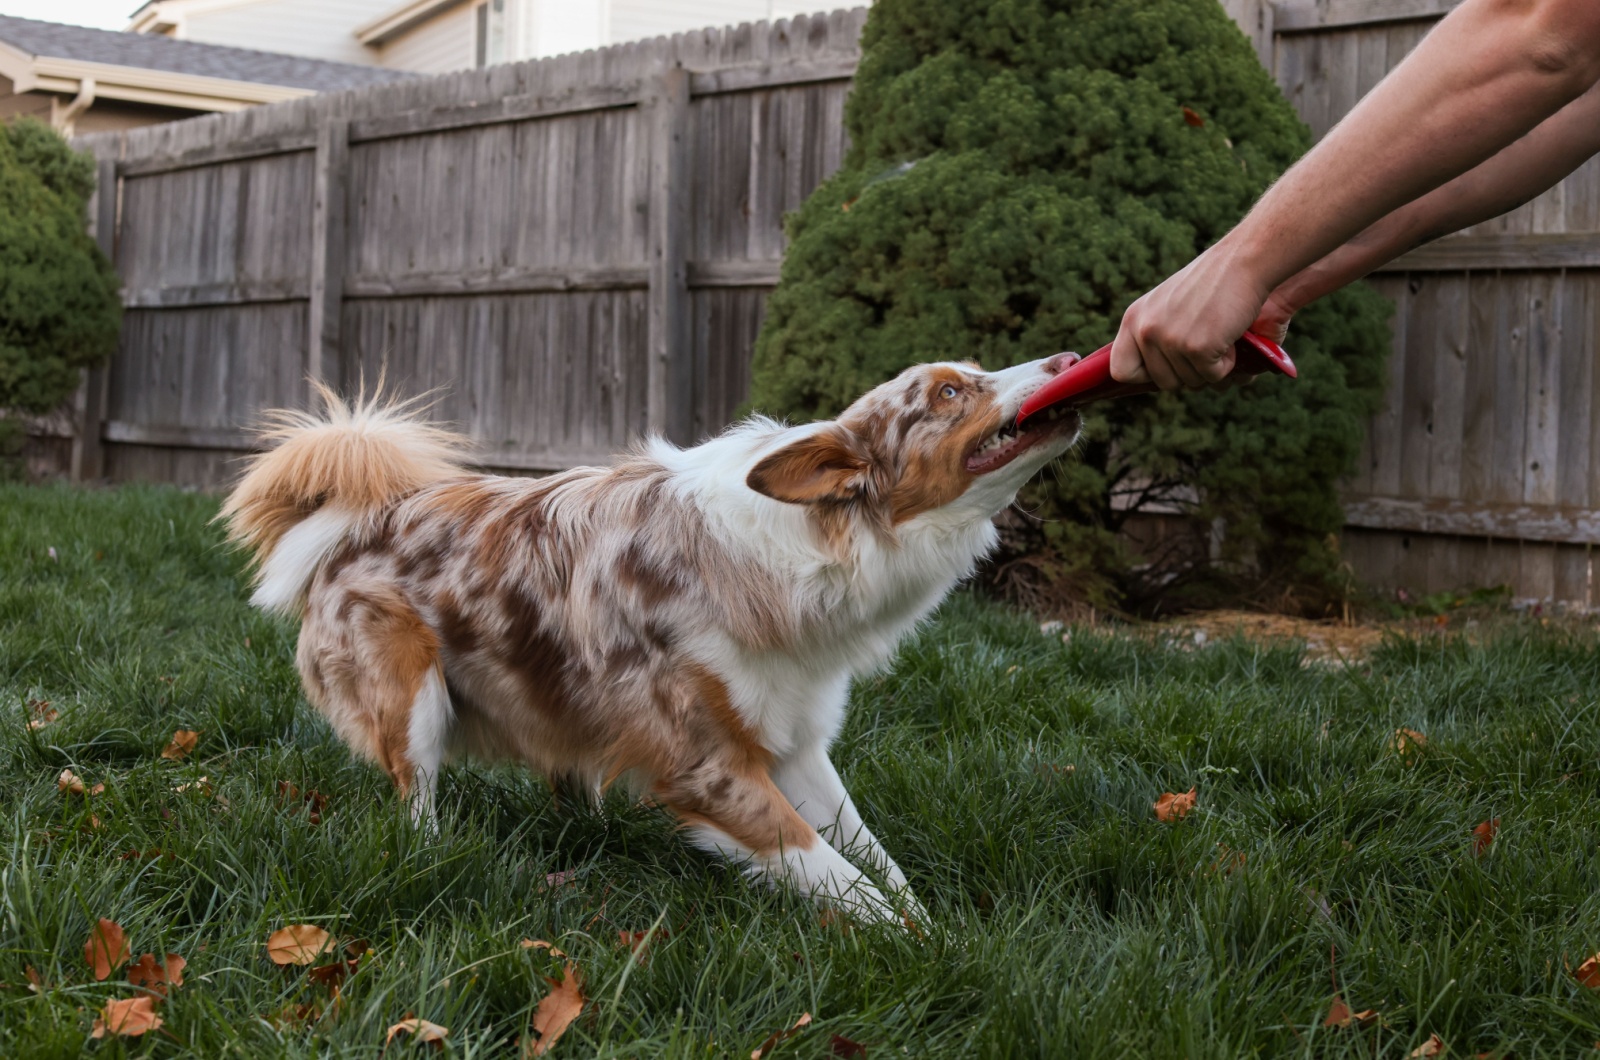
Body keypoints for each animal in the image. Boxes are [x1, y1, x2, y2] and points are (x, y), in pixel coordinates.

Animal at [219, 355, 1081, 922]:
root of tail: (352, 522)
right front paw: (922, 950)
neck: (804, 547)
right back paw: (435, 855)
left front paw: (945, 935)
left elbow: (878, 861)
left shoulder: (793, 738)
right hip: (414, 694)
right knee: (415, 792)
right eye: (948, 392)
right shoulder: (709, 768)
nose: (1070, 358)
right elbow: (839, 875)